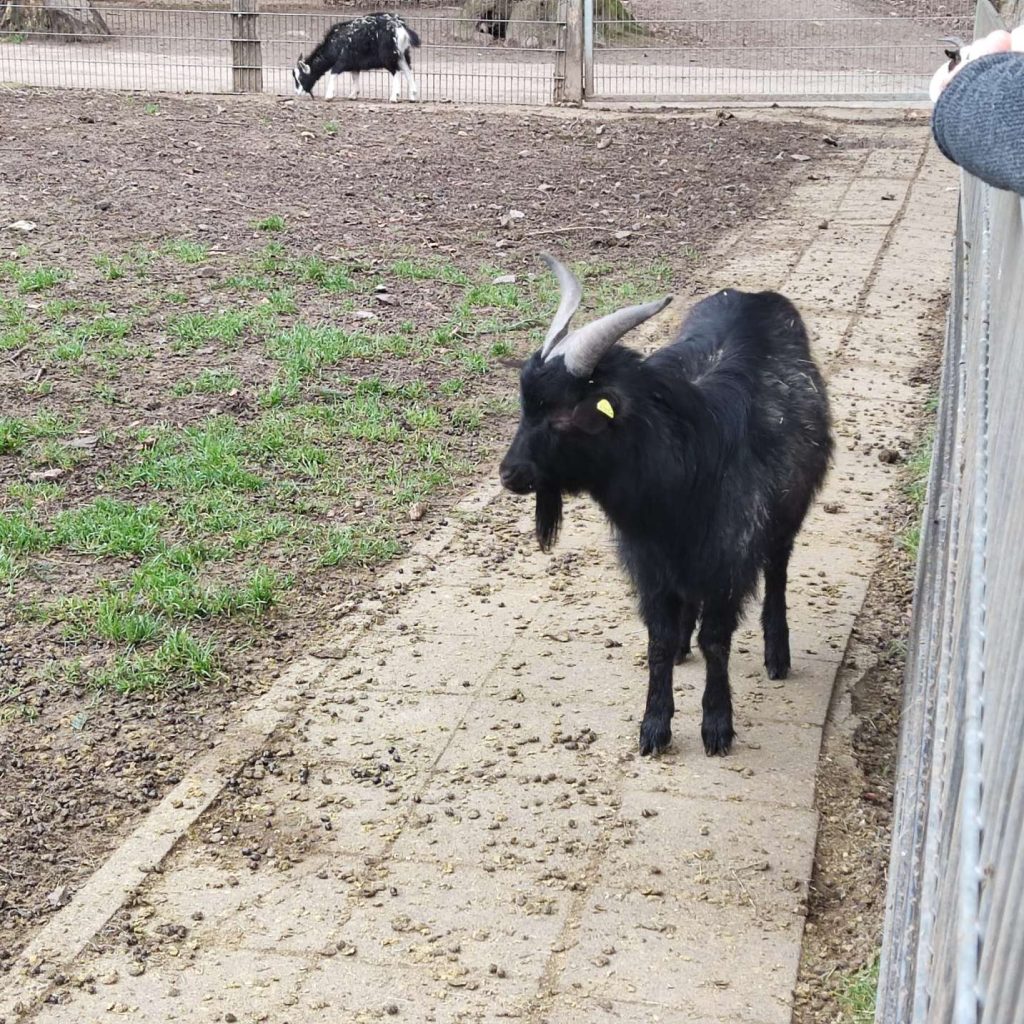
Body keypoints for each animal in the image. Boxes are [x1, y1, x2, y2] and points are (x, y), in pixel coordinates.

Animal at [292, 13, 421, 103]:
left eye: (301, 78)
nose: (297, 92)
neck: (335, 43)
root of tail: (400, 27)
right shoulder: (354, 64)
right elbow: (355, 77)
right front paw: (353, 95)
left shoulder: (343, 60)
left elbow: (333, 72)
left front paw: (329, 96)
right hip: (402, 54)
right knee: (408, 70)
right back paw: (413, 96)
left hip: (388, 57)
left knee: (396, 72)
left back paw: (394, 97)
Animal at [499, 255, 833, 757]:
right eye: (525, 407)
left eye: (564, 414)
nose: (510, 473)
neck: (683, 473)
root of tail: (755, 297)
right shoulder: (648, 563)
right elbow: (658, 639)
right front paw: (654, 725)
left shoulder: (728, 560)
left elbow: (716, 641)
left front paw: (717, 725)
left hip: (785, 516)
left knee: (777, 571)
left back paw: (777, 654)